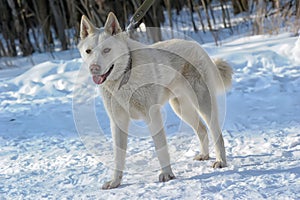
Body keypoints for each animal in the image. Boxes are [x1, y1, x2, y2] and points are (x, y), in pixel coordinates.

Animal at [77, 12, 232, 189]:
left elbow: (161, 148)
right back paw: (204, 155)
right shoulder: (118, 121)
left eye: (106, 50)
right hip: (181, 109)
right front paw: (115, 181)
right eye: (88, 51)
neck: (125, 75)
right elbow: (118, 156)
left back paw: (221, 161)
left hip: (204, 104)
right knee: (202, 129)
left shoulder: (153, 116)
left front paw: (167, 175)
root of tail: (197, 46)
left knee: (215, 132)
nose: (93, 68)